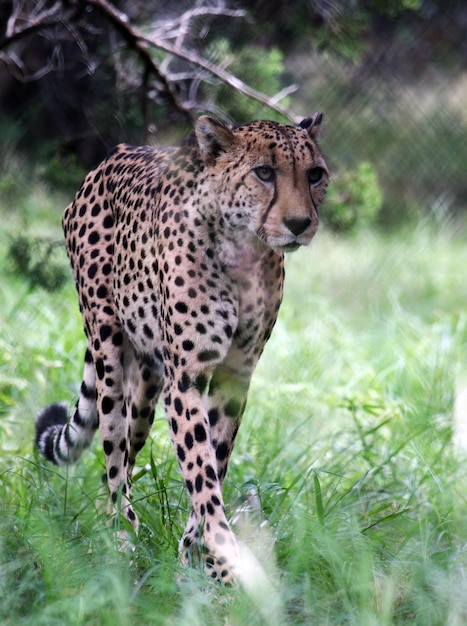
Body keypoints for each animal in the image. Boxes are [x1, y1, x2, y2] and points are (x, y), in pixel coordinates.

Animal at [35, 114, 330, 584]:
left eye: (315, 174)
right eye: (264, 173)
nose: (300, 223)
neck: (243, 249)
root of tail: (115, 153)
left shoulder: (234, 378)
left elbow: (214, 462)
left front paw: (198, 561)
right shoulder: (187, 378)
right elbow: (200, 471)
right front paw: (226, 561)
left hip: (146, 387)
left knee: (122, 458)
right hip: (108, 353)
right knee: (113, 457)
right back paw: (120, 542)